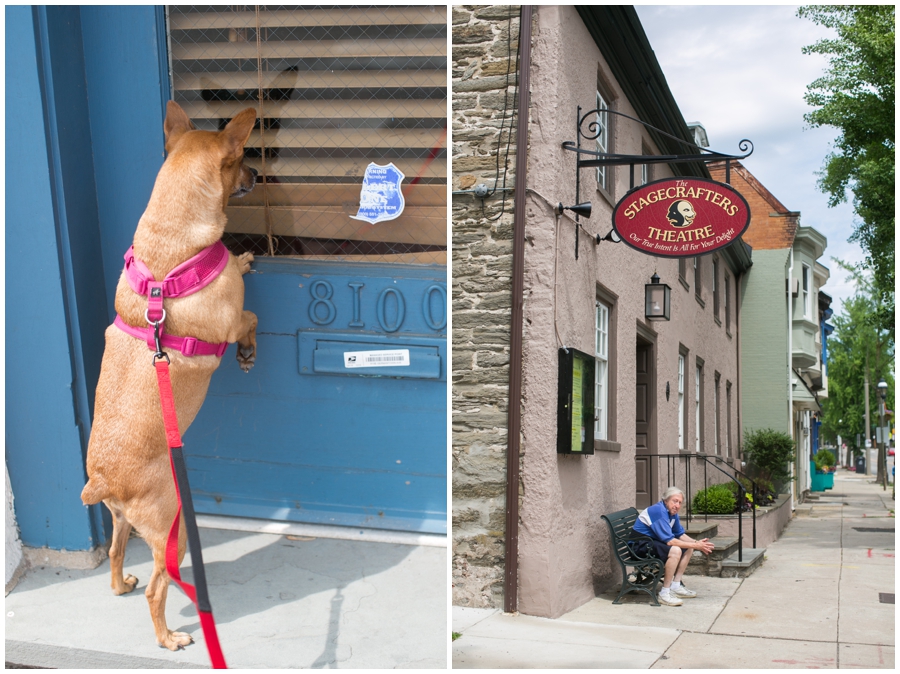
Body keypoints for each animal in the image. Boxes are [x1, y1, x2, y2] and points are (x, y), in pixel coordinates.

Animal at [81, 101, 260, 652]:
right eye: (240, 158)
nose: (258, 174)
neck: (170, 245)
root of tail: (102, 480)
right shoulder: (231, 320)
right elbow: (250, 319)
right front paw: (248, 350)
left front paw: (244, 256)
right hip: (170, 534)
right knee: (158, 589)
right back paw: (169, 638)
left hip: (123, 522)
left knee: (116, 553)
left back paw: (120, 583)